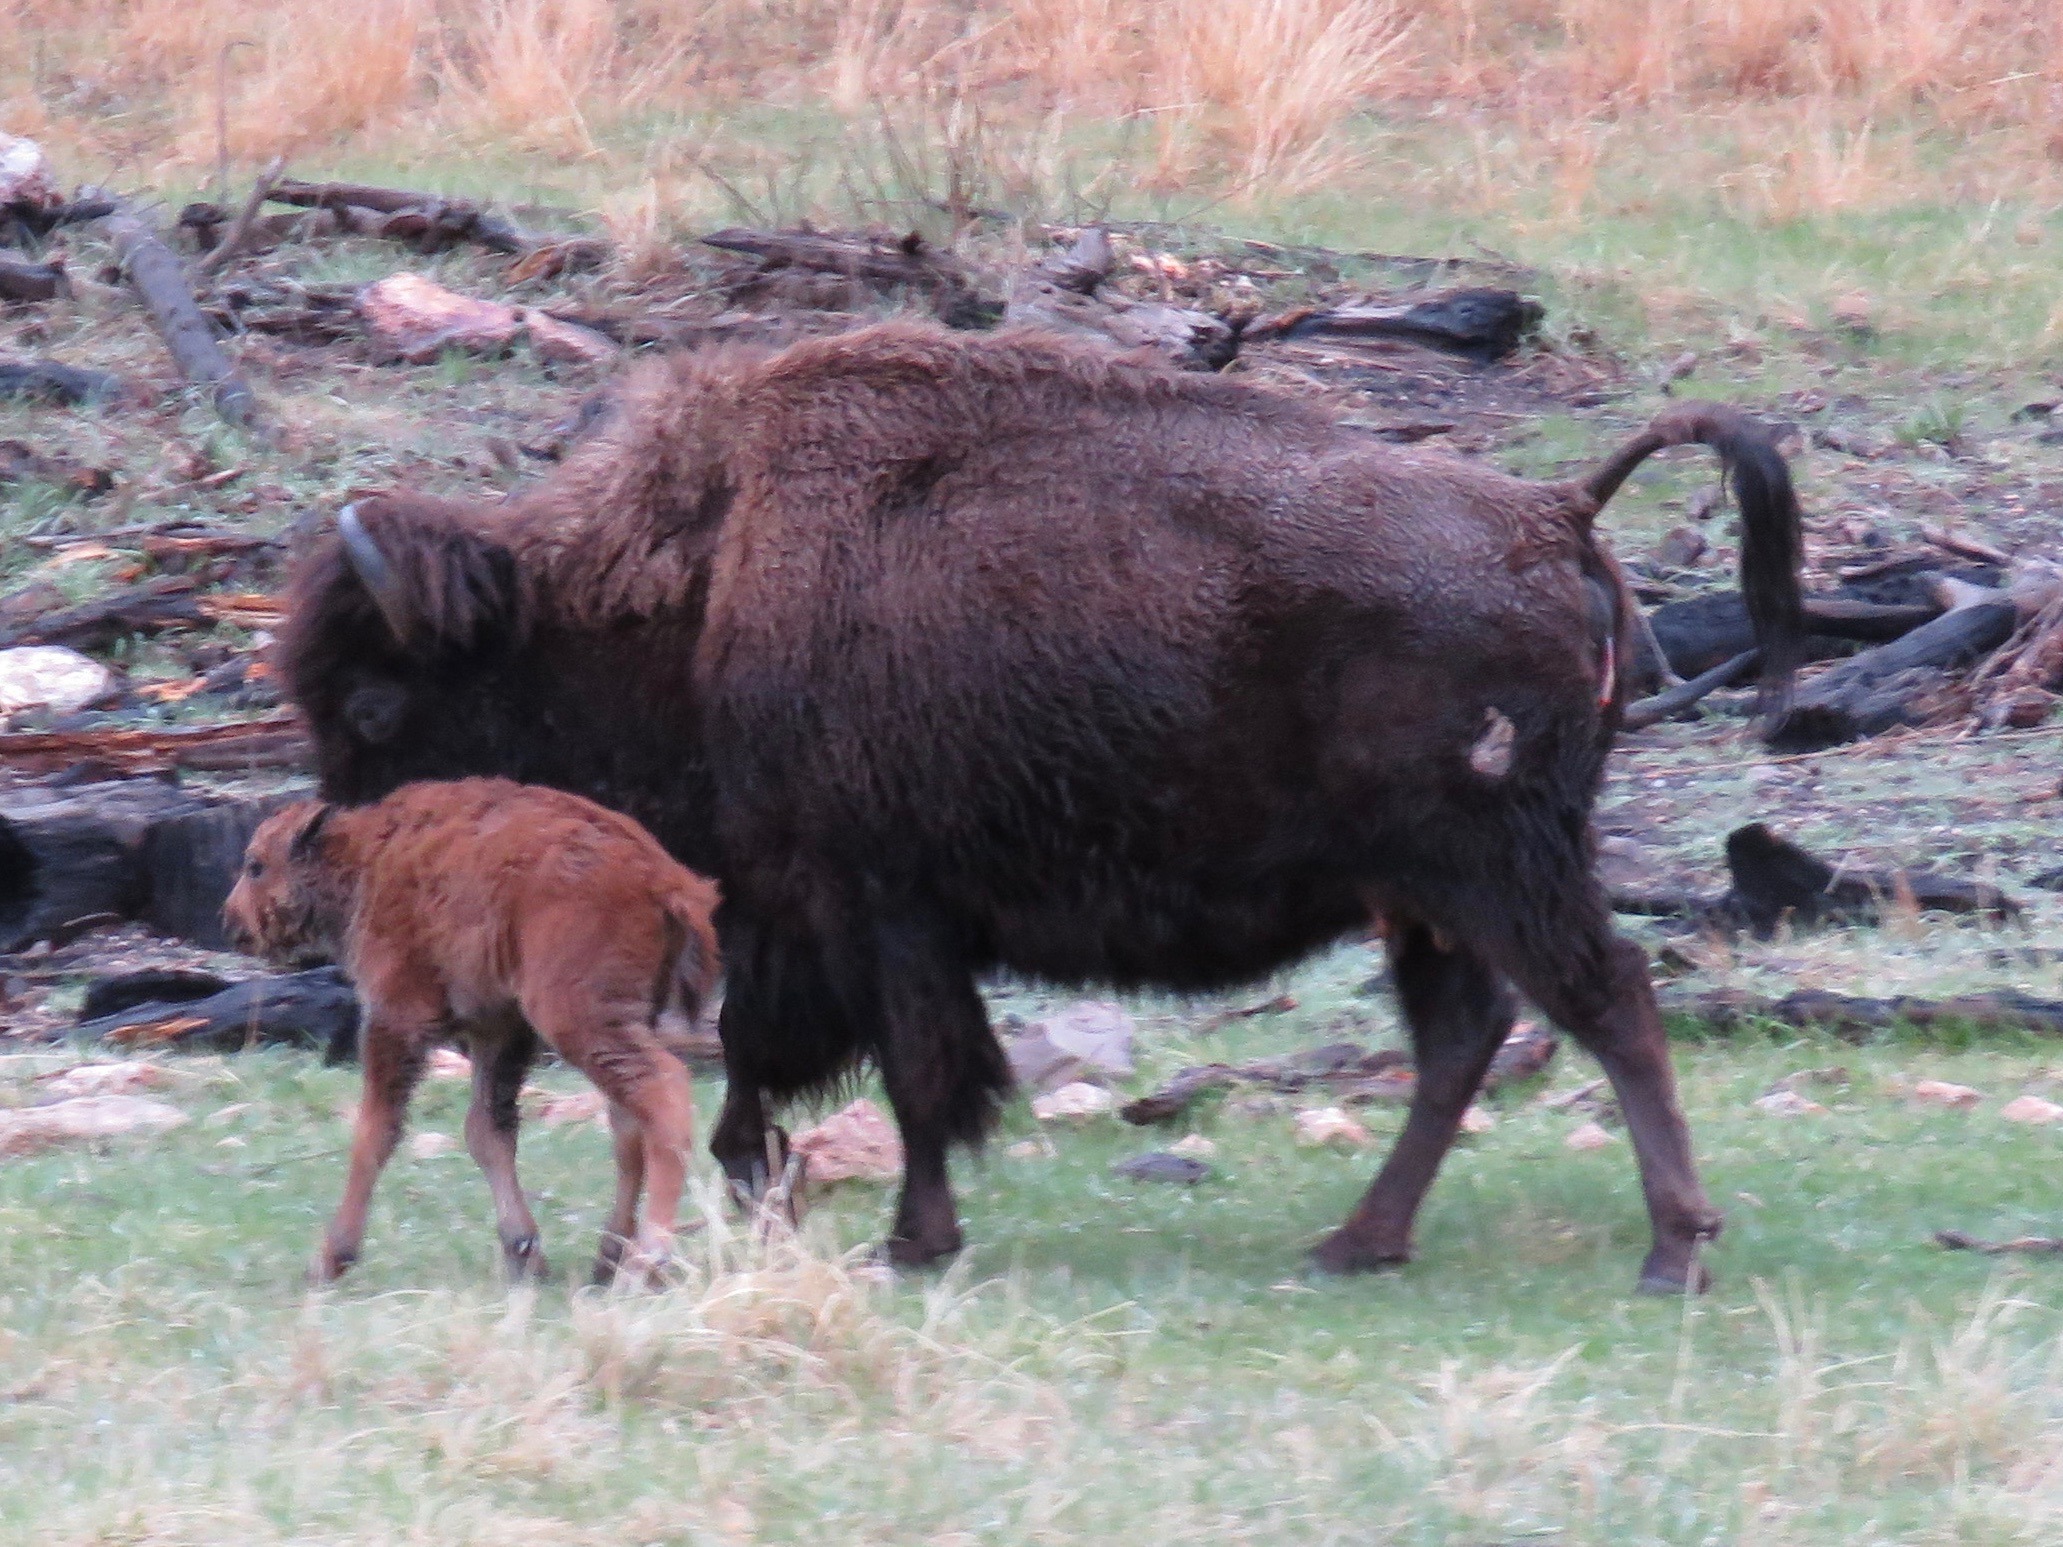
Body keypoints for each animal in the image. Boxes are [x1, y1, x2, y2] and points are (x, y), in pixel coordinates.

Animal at [282, 320, 1803, 1292]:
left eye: (375, 706)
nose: (373, 883)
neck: (692, 588)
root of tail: (1558, 514)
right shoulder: (803, 920)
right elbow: (776, 1069)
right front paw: (779, 1195)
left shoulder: (875, 907)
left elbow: (914, 1072)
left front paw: (909, 1239)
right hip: (1420, 889)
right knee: (1466, 1031)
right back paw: (1352, 1244)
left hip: (1489, 860)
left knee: (1603, 997)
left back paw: (1669, 1249)